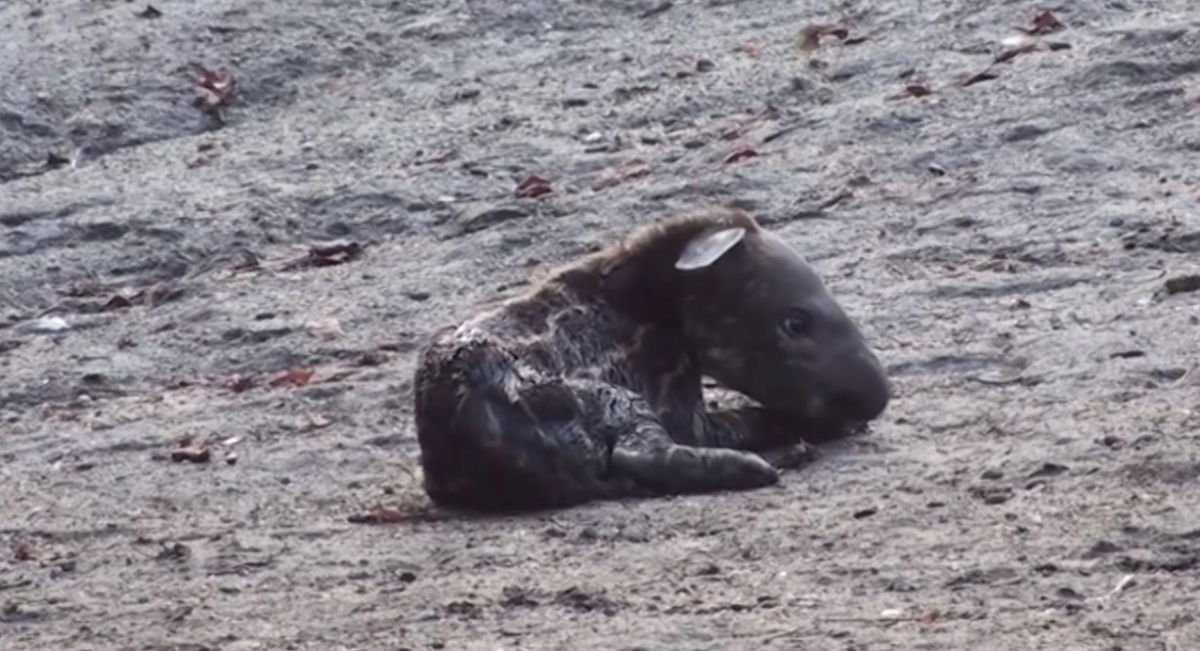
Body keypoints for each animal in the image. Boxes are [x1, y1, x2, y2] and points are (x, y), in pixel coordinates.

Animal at [415, 206, 892, 514]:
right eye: (795, 321)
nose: (876, 395)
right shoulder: (680, 408)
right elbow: (755, 418)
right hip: (611, 400)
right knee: (642, 454)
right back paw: (762, 467)